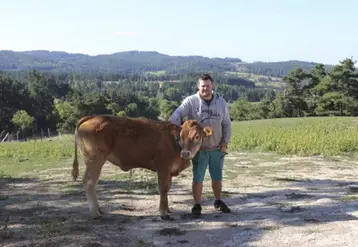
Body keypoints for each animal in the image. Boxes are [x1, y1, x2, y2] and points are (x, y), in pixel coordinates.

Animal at [71, 114, 214, 220]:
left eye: (197, 136)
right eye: (181, 136)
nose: (185, 153)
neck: (174, 143)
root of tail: (93, 116)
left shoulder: (169, 171)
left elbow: (168, 188)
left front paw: (167, 209)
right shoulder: (163, 167)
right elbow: (163, 188)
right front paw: (163, 213)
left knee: (93, 183)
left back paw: (99, 209)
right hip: (95, 159)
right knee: (89, 182)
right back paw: (95, 212)